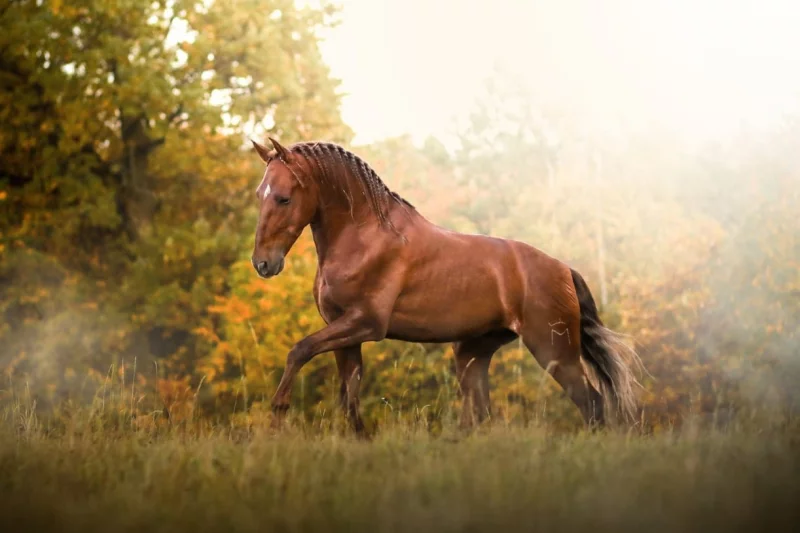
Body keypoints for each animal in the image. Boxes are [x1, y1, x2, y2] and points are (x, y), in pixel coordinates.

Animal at [250, 135, 644, 430]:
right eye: (259, 195)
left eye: (284, 197)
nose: (263, 263)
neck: (364, 237)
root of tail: (565, 271)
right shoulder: (343, 331)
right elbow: (349, 397)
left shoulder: (365, 324)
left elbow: (299, 350)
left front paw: (278, 412)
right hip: (472, 353)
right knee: (482, 415)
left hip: (554, 352)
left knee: (592, 404)